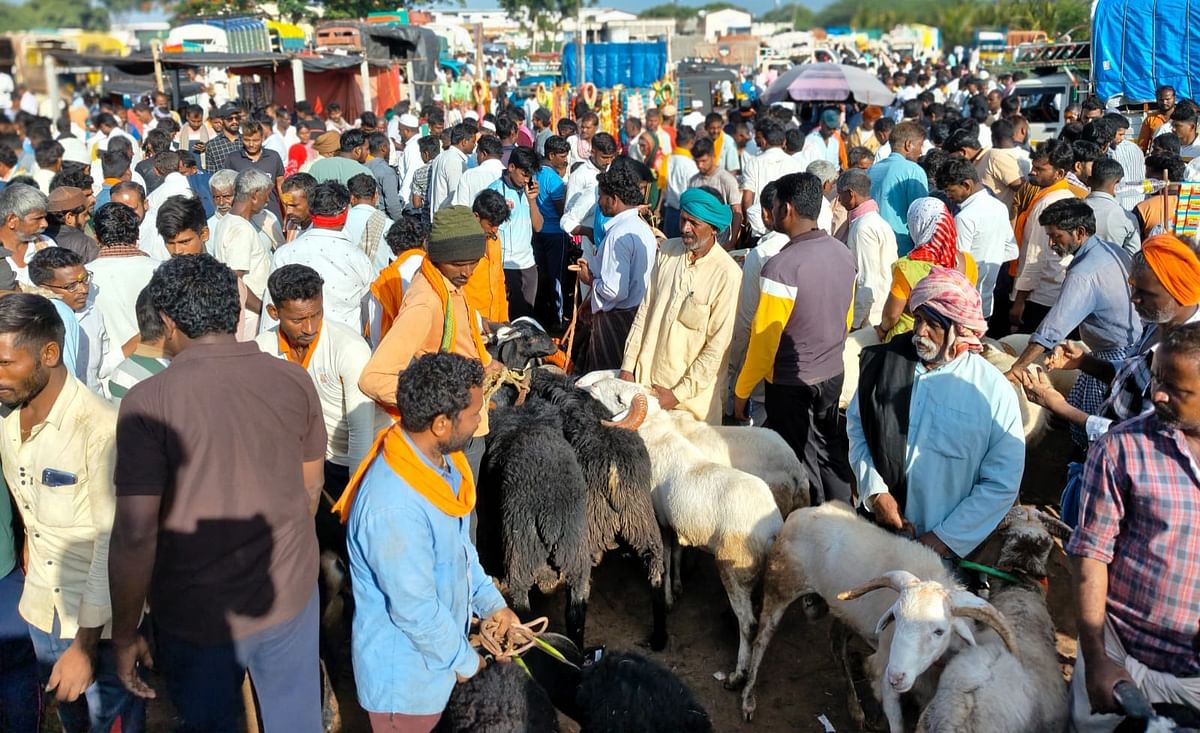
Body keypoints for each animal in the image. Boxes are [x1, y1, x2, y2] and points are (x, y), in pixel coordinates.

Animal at [573, 371, 782, 686]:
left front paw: (669, 597)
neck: (657, 437)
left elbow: (666, 558)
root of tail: (771, 529)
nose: (589, 386)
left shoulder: (659, 519)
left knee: (748, 624)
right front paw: (679, 587)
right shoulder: (673, 522)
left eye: (620, 397)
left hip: (733, 571)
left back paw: (737, 676)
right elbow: (675, 555)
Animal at [734, 501, 1017, 729]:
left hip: (844, 609)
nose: (897, 676)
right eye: (896, 619)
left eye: (939, 630)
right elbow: (895, 719)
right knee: (760, 640)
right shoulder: (883, 667)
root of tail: (801, 512)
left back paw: (855, 708)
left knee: (836, 643)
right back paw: (748, 698)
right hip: (781, 585)